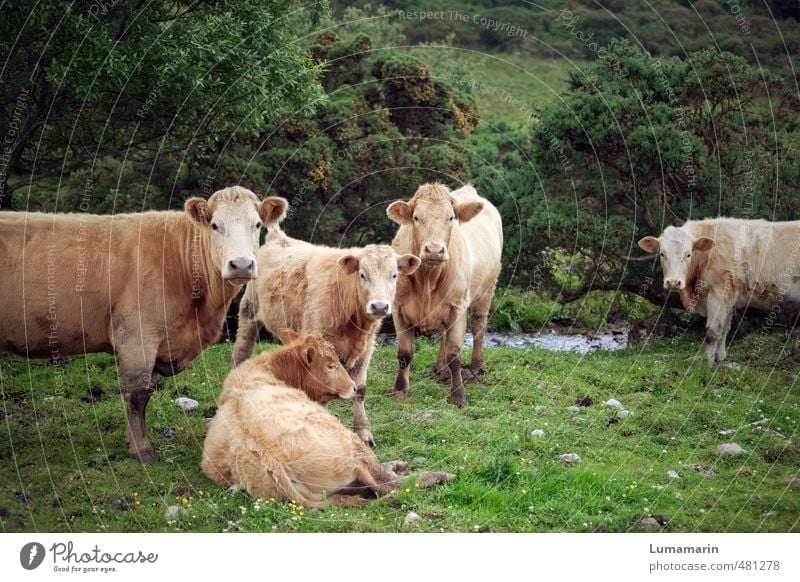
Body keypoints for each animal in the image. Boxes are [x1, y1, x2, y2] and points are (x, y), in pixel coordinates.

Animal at [0, 187, 288, 466]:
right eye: (215, 225)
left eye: (257, 224)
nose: (241, 264)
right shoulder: (137, 335)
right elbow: (138, 393)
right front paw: (141, 449)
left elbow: (147, 390)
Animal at [200, 330, 454, 508]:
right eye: (331, 366)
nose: (353, 387)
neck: (265, 370)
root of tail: (270, 458)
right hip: (351, 444)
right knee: (389, 482)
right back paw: (435, 474)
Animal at [231, 228, 422, 448]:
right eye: (362, 275)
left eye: (394, 275)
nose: (379, 306)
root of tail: (278, 237)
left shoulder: (366, 351)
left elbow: (360, 390)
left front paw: (364, 433)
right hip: (248, 312)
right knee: (241, 351)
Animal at [386, 182, 500, 406]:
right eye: (416, 217)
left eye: (451, 218)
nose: (434, 250)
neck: (427, 281)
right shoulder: (398, 308)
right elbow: (405, 353)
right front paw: (400, 390)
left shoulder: (458, 307)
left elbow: (454, 354)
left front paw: (458, 395)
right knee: (444, 336)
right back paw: (440, 369)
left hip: (486, 290)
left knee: (479, 327)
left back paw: (477, 366)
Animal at [636, 219, 800, 370]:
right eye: (662, 254)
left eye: (688, 254)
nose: (673, 282)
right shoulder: (730, 300)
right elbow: (724, 330)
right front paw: (720, 359)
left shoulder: (718, 294)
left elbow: (713, 333)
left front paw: (708, 366)